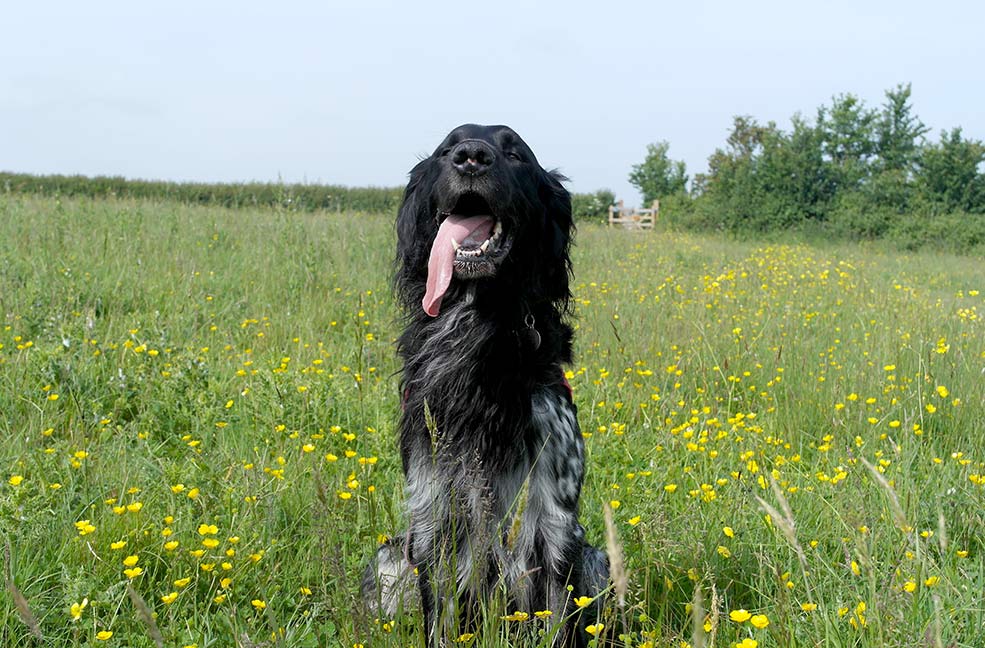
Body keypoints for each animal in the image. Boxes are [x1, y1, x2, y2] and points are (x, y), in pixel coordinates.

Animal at [362, 124, 608, 644]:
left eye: (515, 154)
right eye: (445, 149)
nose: (471, 157)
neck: (480, 329)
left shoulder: (554, 522)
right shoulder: (432, 516)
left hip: (593, 559)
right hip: (390, 556)